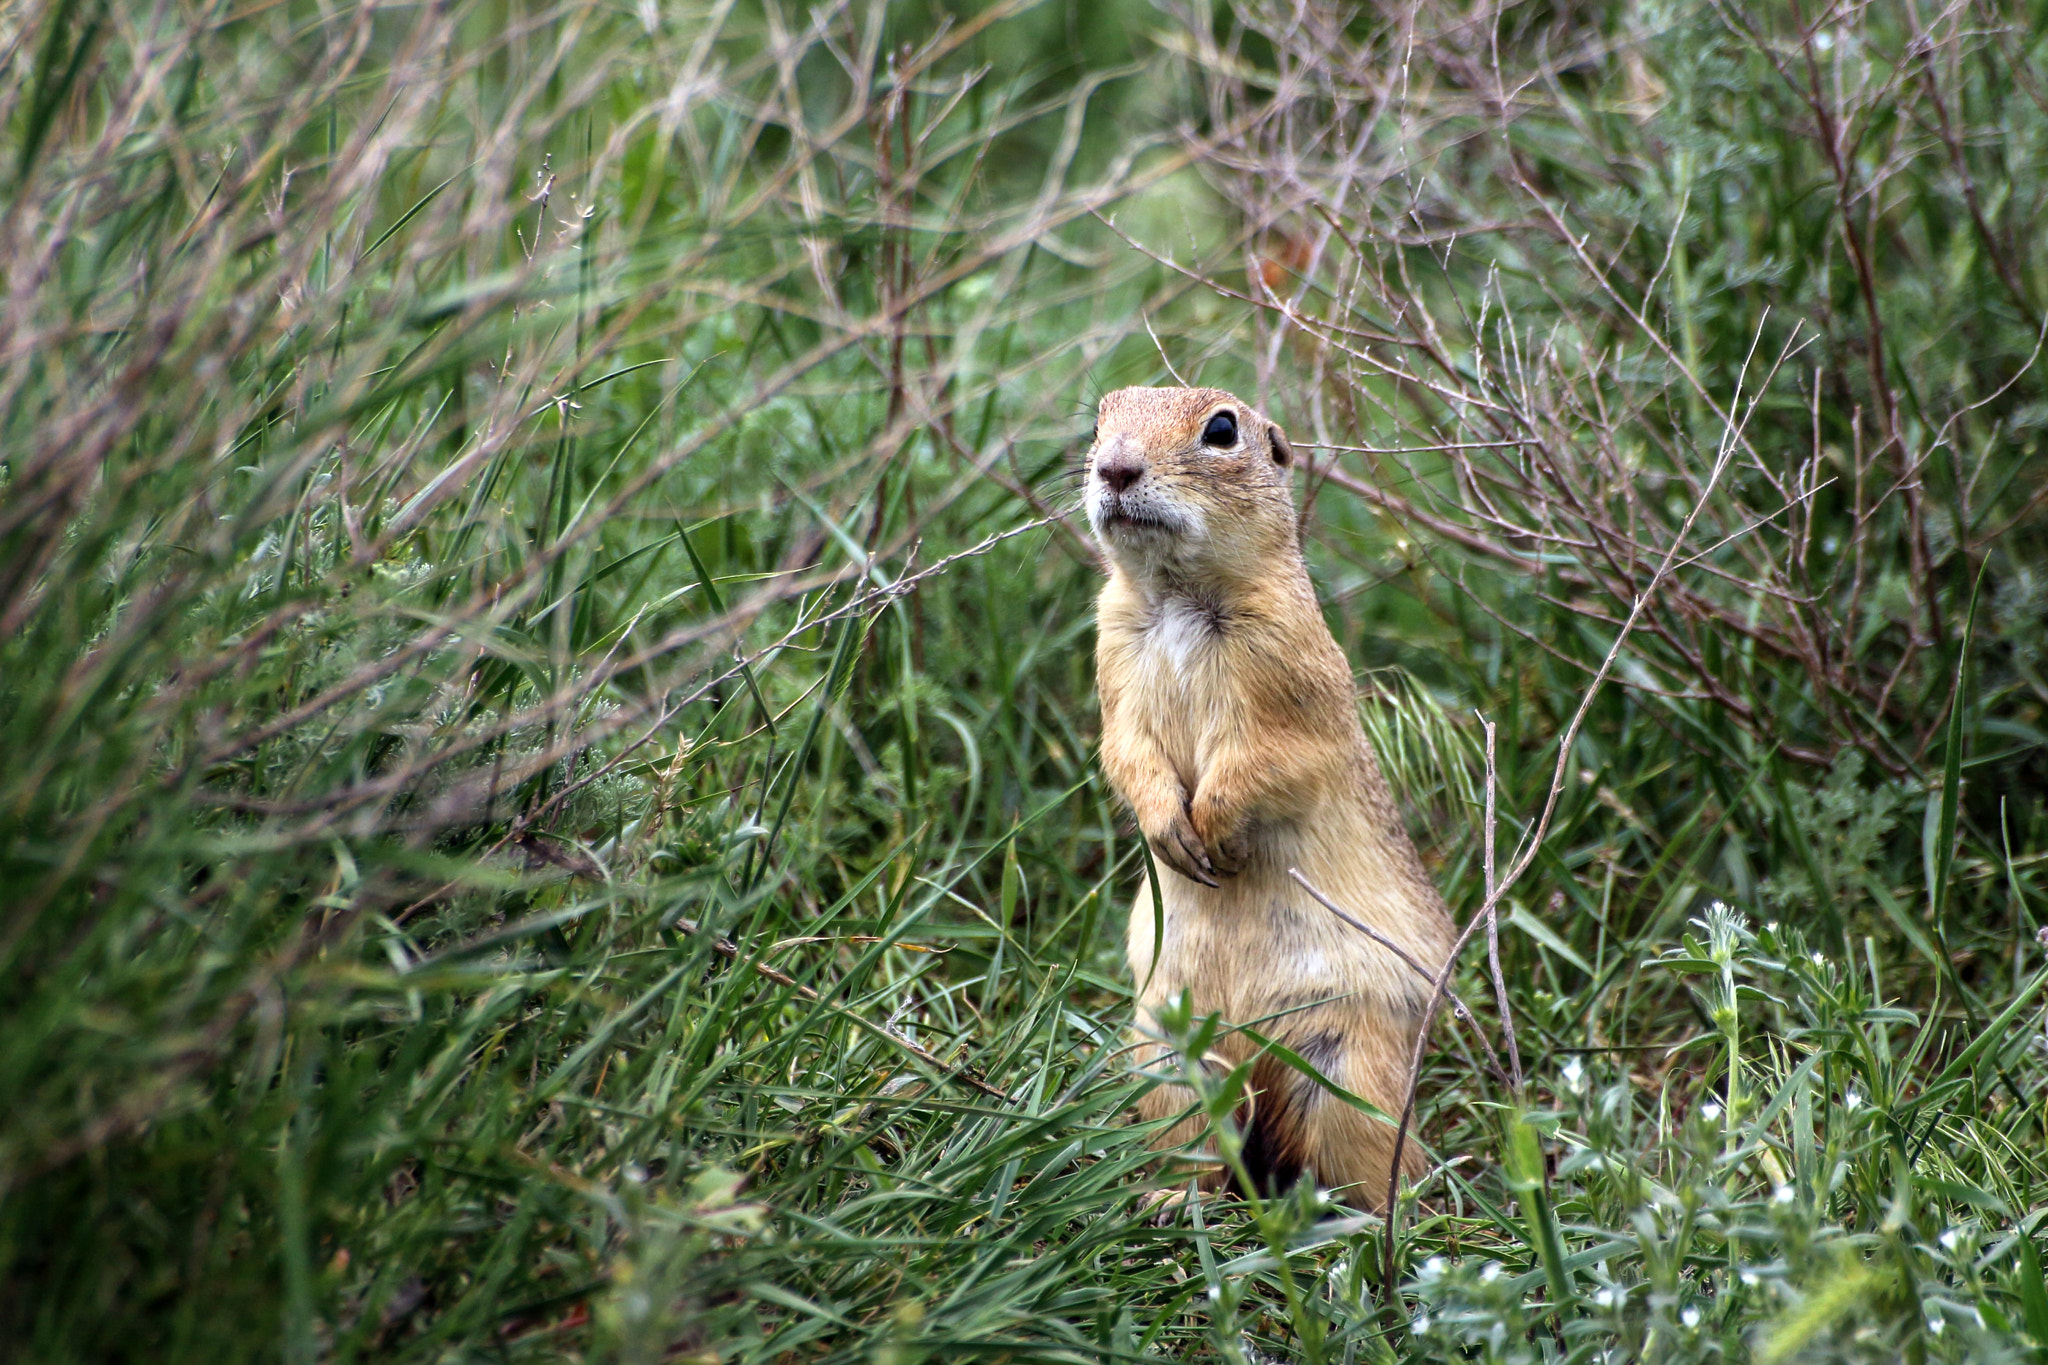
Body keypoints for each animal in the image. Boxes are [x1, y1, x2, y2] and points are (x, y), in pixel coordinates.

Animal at [1089, 382, 1458, 1203]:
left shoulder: (1289, 679)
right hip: (1166, 1057)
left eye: (1223, 429)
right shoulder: (1113, 661)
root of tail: (1254, 1052)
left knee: (1381, 1165)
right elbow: (1126, 753)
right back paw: (1171, 1198)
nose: (1114, 467)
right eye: (1098, 417)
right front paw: (1170, 829)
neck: (1179, 597)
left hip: (1350, 1071)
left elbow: (1270, 761)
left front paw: (1212, 831)